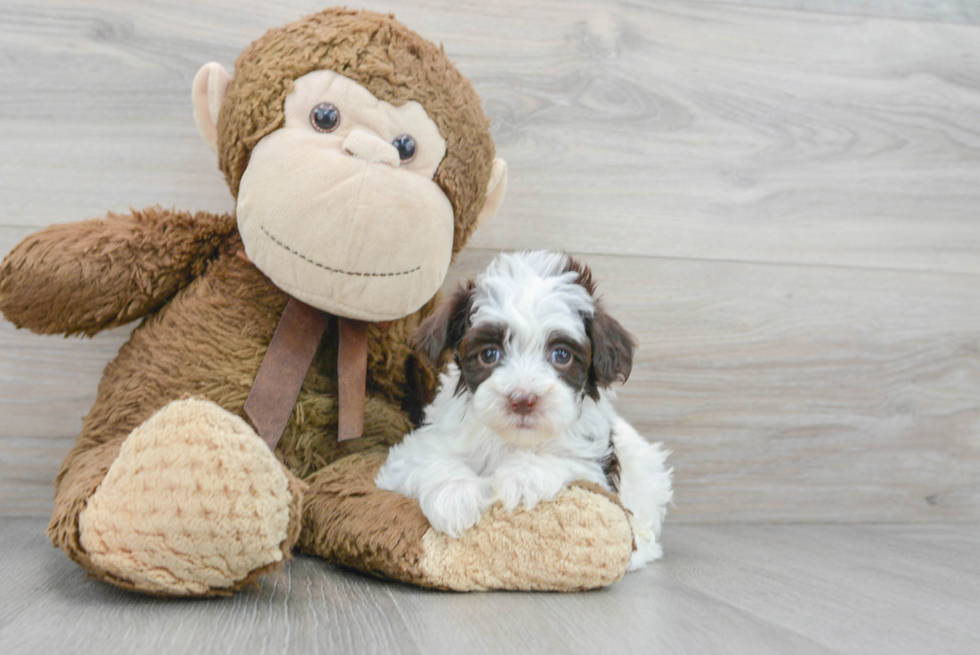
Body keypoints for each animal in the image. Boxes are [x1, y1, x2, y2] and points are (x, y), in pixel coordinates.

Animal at [376, 251, 672, 568]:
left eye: (561, 355)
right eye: (489, 354)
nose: (523, 399)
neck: (513, 440)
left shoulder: (597, 468)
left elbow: (567, 462)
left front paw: (521, 476)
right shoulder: (411, 453)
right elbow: (429, 459)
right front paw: (455, 496)